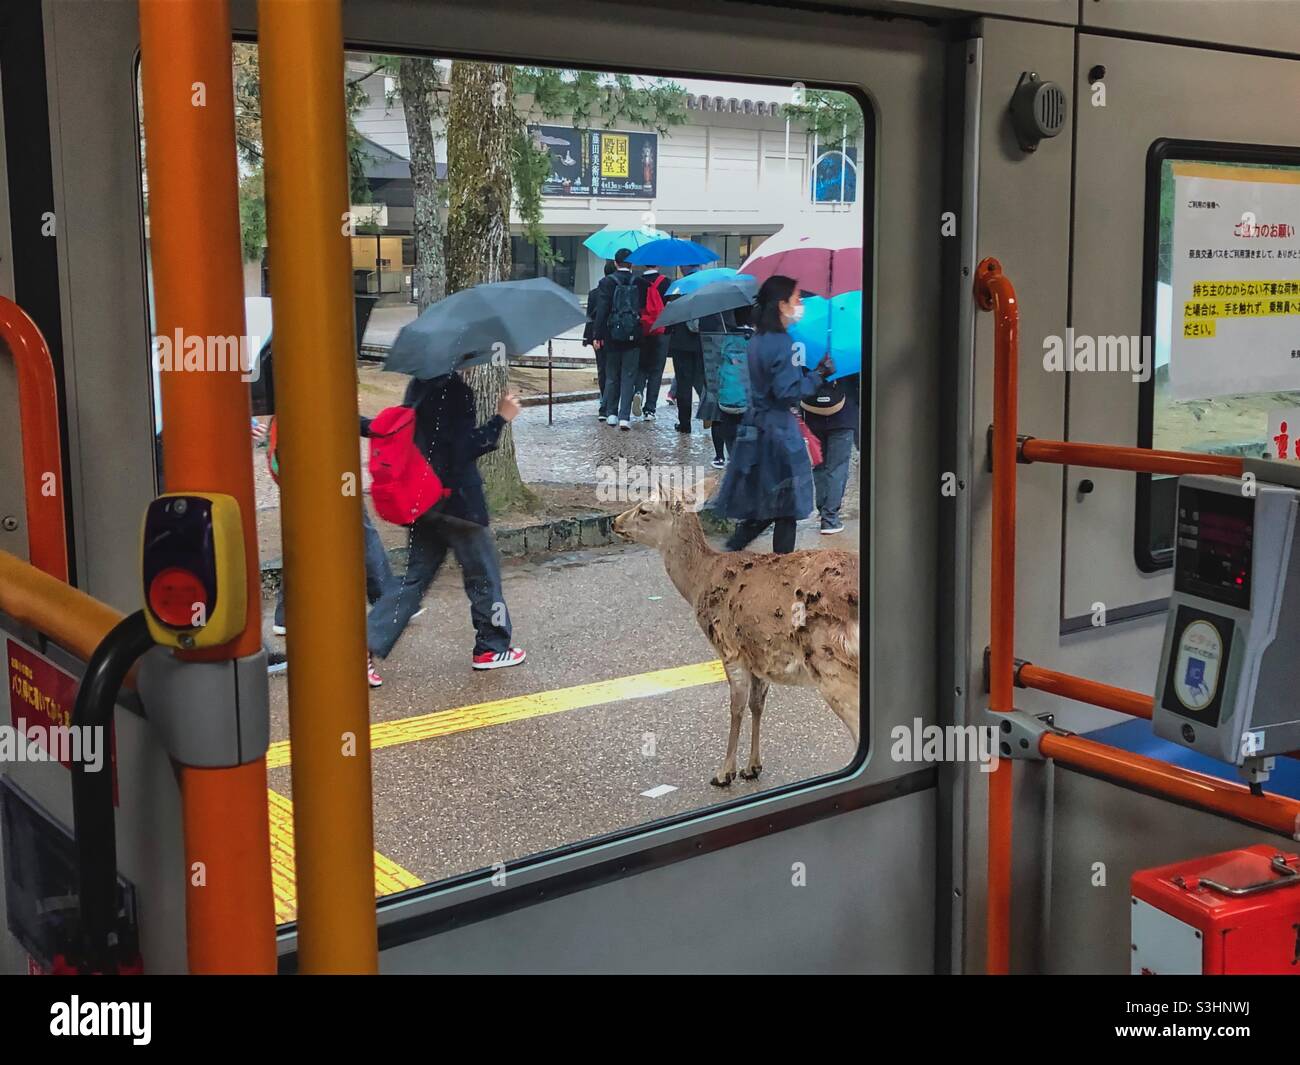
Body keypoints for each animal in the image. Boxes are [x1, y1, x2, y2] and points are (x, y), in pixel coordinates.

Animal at [611, 478, 857, 785]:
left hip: (832, 662)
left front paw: (724, 772)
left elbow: (736, 706)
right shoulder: (759, 655)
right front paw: (752, 766)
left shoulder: (728, 647)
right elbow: (757, 704)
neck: (699, 582)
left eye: (643, 509)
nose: (614, 521)